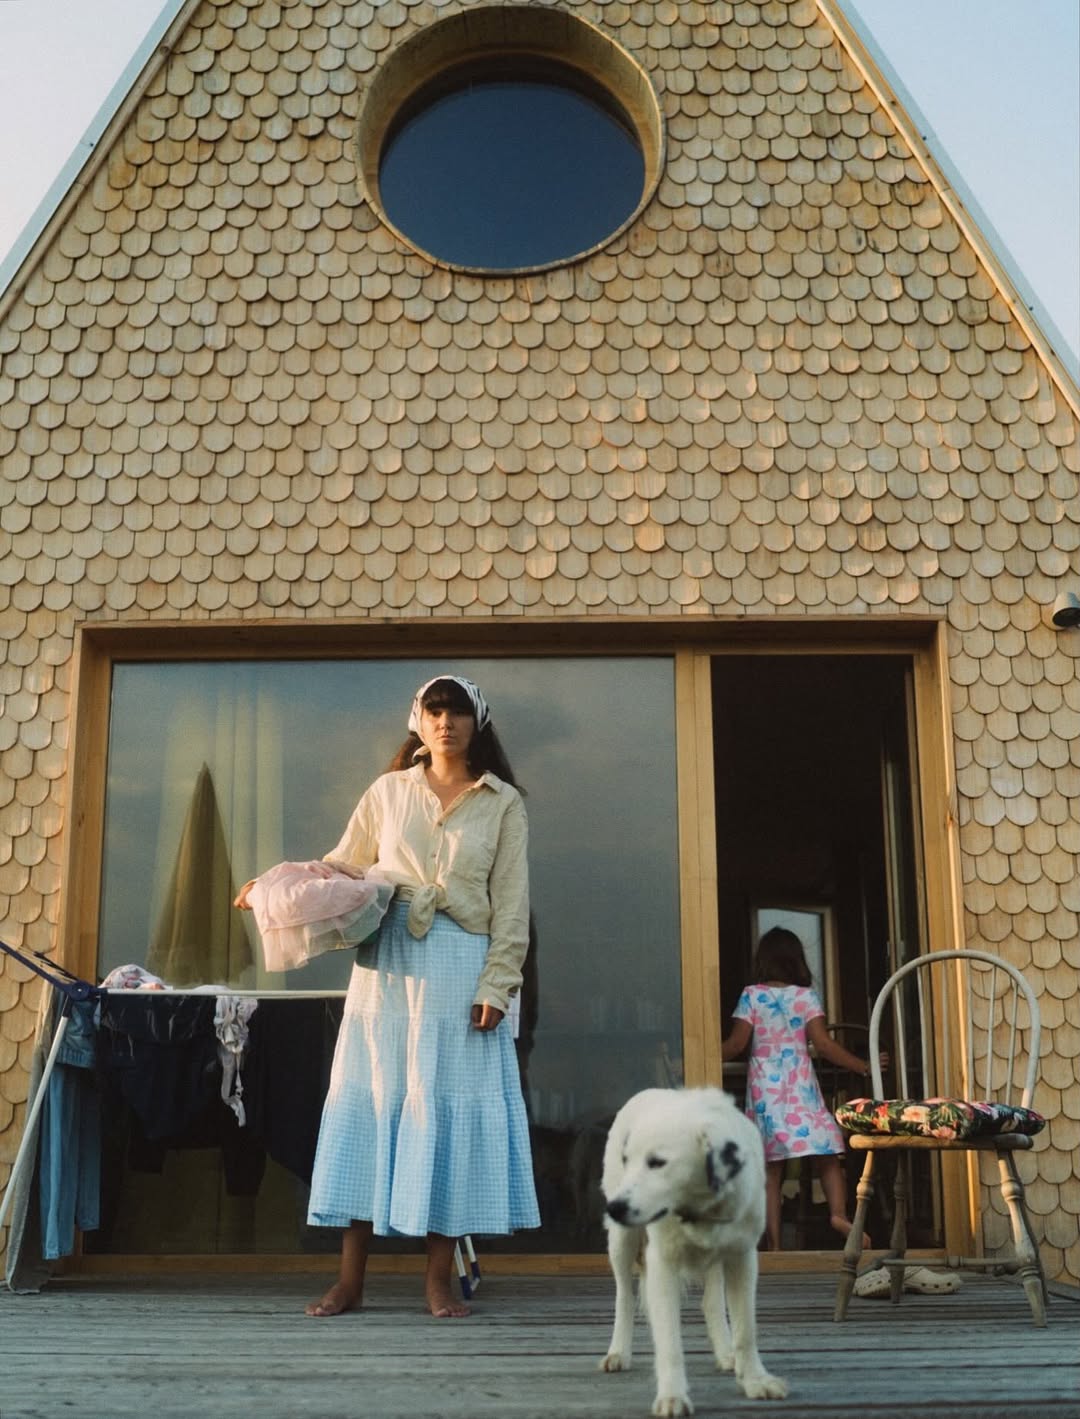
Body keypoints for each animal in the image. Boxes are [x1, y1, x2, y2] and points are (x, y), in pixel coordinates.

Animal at [599, 1087, 788, 1416]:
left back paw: (725, 1353)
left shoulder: (742, 1257)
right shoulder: (663, 1263)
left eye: (657, 1162)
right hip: (621, 1241)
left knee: (712, 1302)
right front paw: (672, 1395)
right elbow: (669, 1341)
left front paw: (754, 1379)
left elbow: (745, 1329)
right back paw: (618, 1352)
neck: (700, 1209)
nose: (615, 1208)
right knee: (625, 1295)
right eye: (627, 1160)